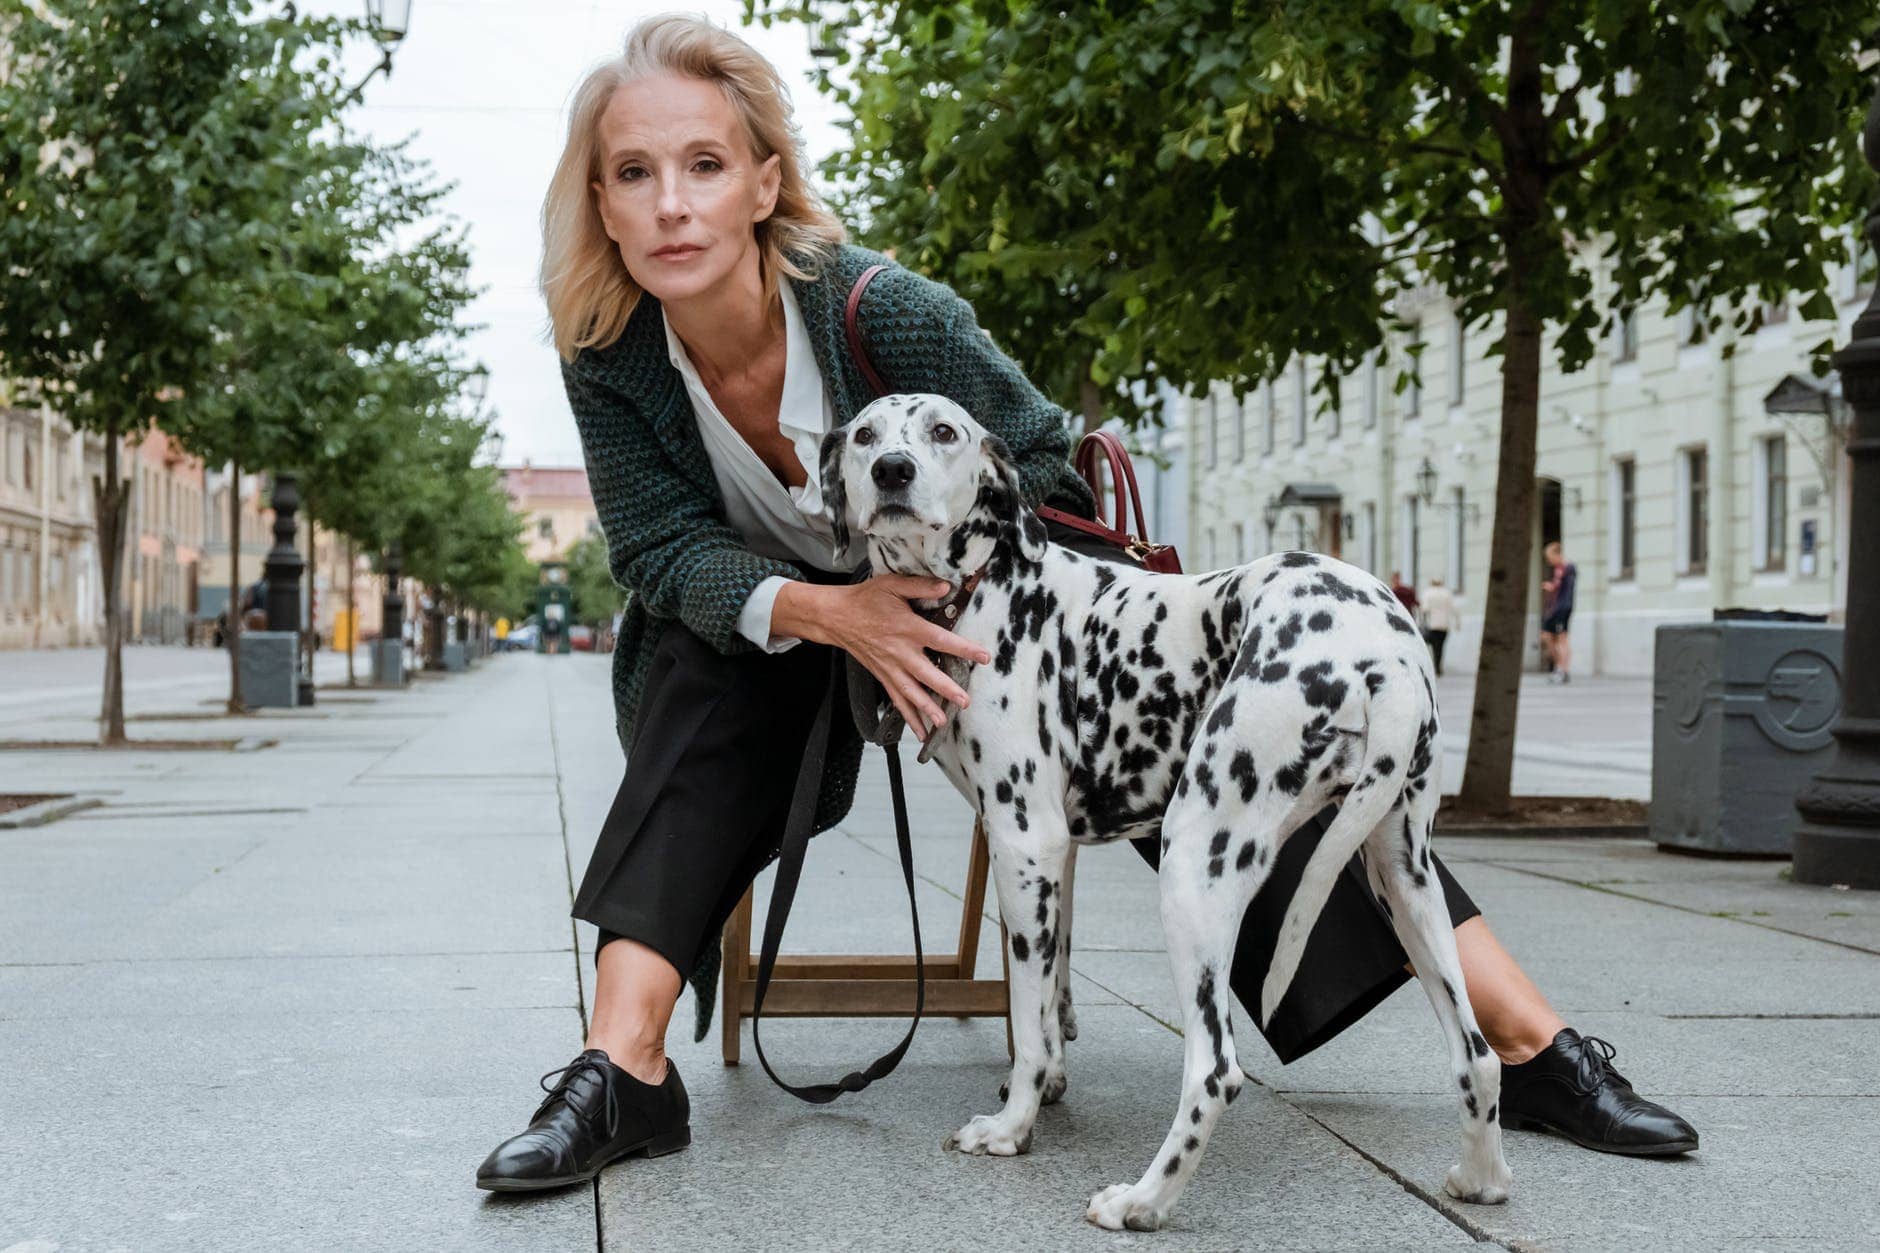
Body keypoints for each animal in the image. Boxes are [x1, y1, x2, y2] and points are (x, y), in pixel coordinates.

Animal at [823, 393, 1511, 1226]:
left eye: (943, 432)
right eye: (865, 435)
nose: (892, 471)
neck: (987, 589)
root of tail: (1386, 653)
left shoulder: (1024, 842)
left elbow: (1026, 1018)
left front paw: (1013, 1126)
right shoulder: (1056, 857)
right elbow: (1051, 998)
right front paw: (1047, 1085)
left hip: (1194, 866)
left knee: (1216, 1069)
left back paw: (1142, 1201)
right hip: (1400, 876)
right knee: (1478, 1054)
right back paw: (1482, 1176)